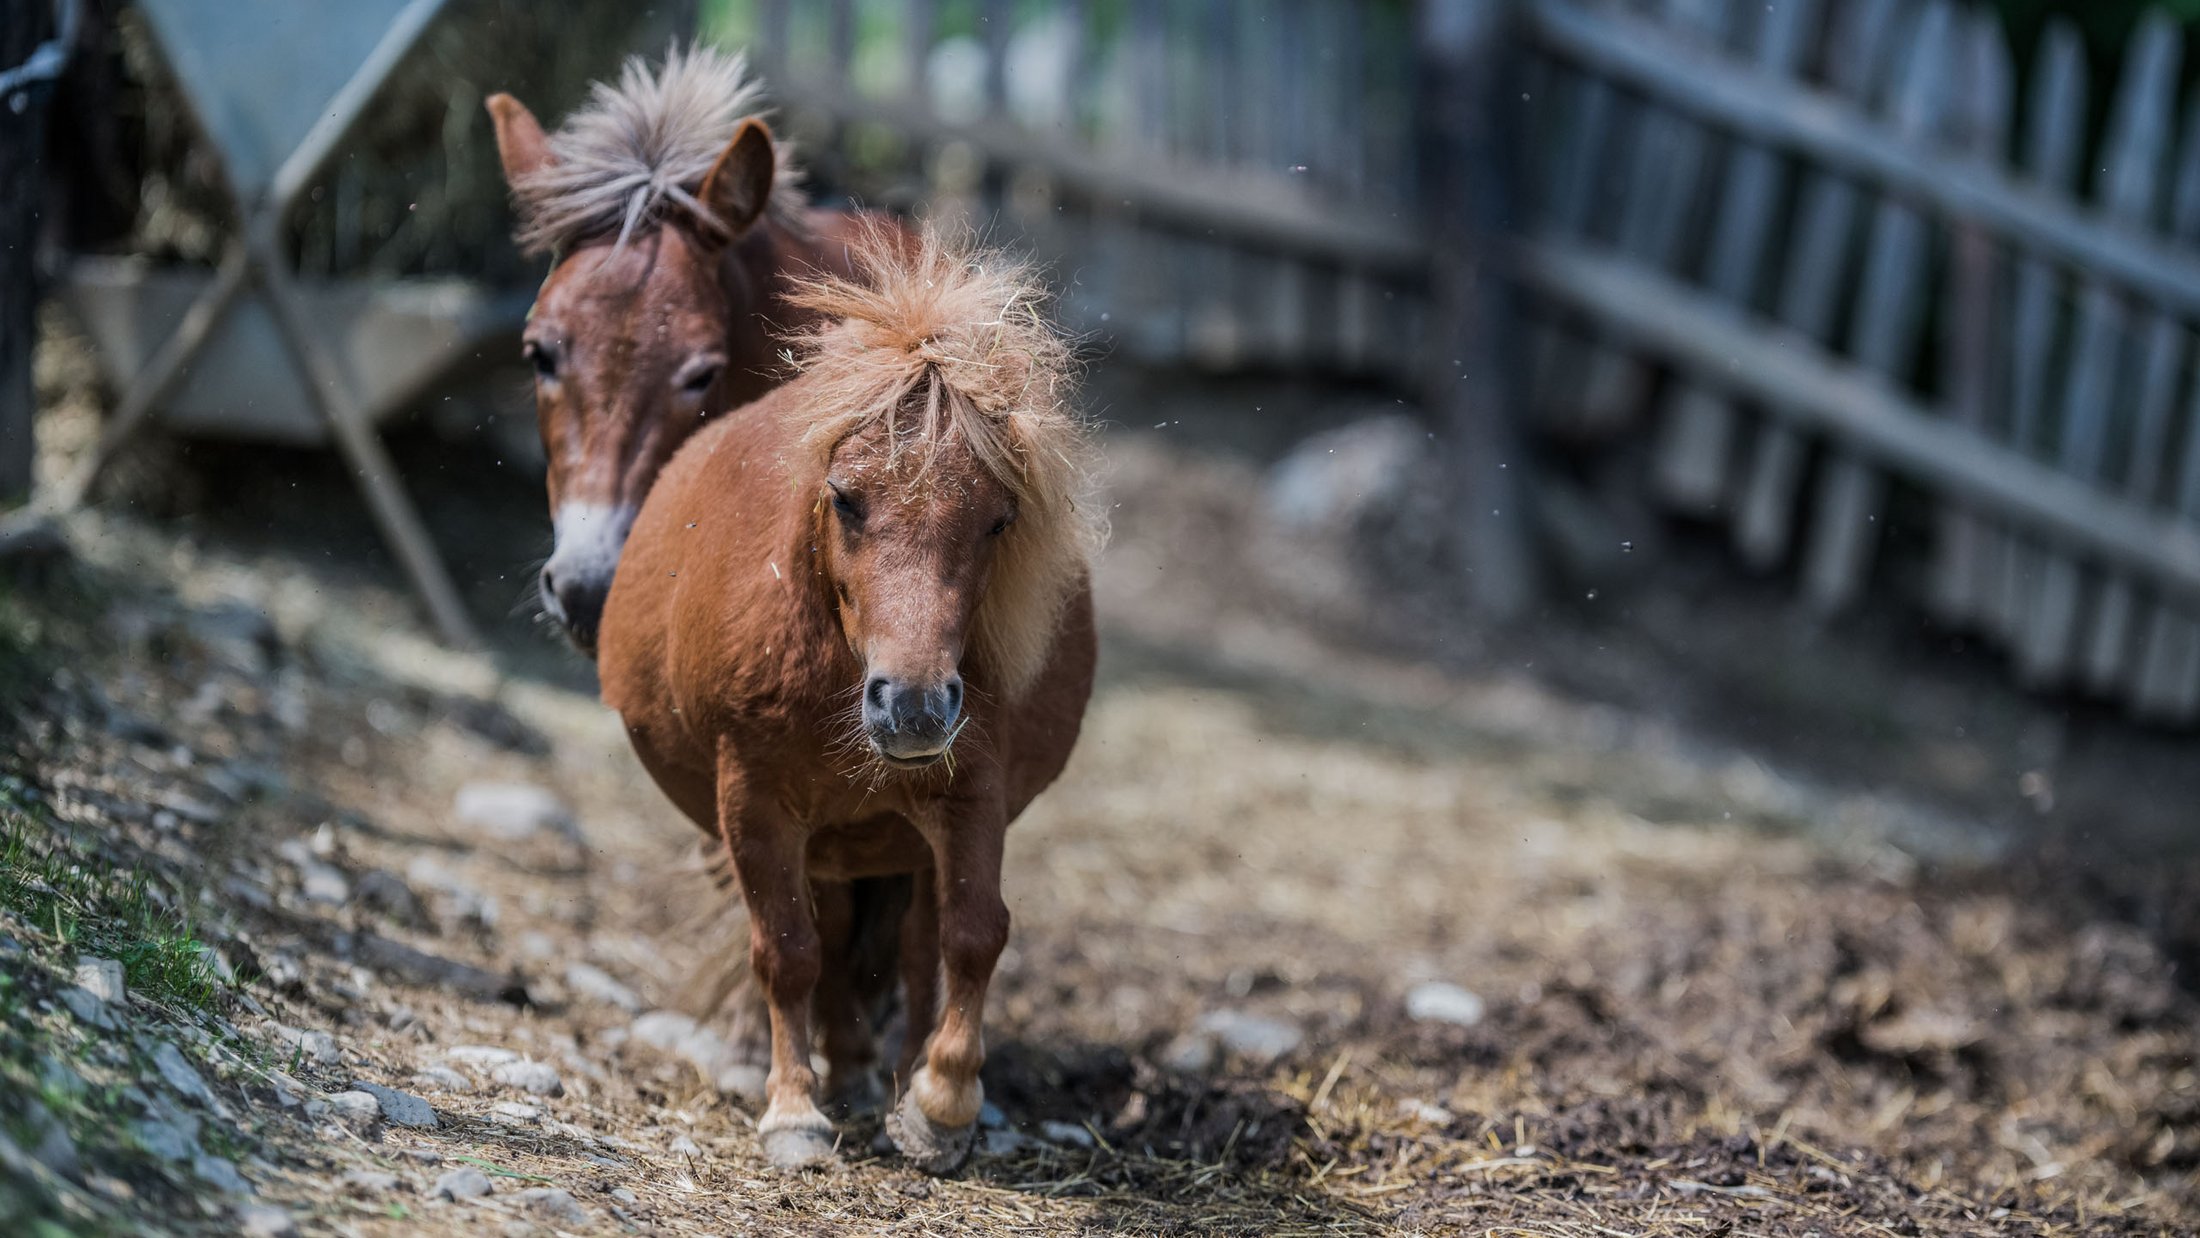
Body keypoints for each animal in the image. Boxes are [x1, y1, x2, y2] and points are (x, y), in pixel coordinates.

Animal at [595, 223, 1102, 1172]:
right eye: (845, 499)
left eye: (998, 520)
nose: (913, 708)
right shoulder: (752, 804)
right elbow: (787, 954)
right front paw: (794, 1112)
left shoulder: (972, 793)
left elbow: (972, 934)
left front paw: (940, 1107)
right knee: (829, 946)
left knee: (910, 950)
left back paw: (891, 1077)